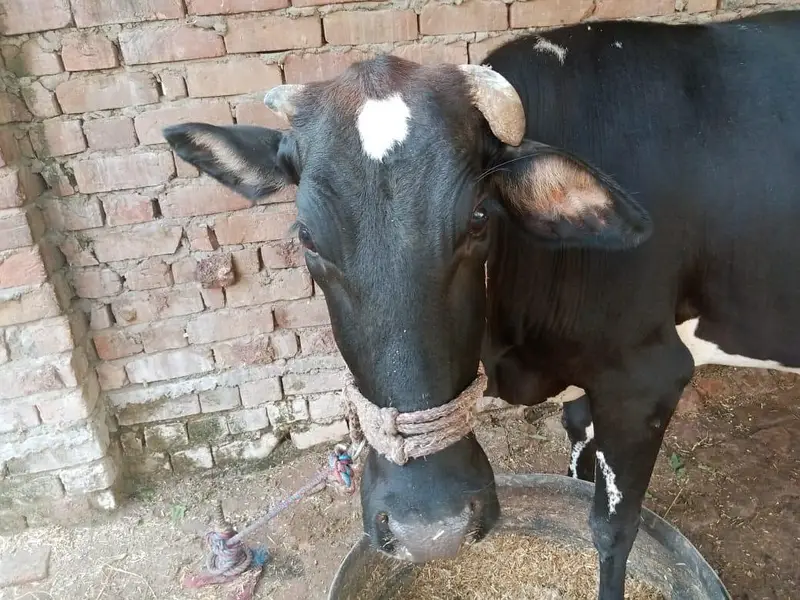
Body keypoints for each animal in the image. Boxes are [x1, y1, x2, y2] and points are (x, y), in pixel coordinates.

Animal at [162, 9, 800, 599]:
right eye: (307, 239)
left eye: (477, 218)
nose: (429, 529)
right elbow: (578, 460)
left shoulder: (647, 377)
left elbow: (613, 530)